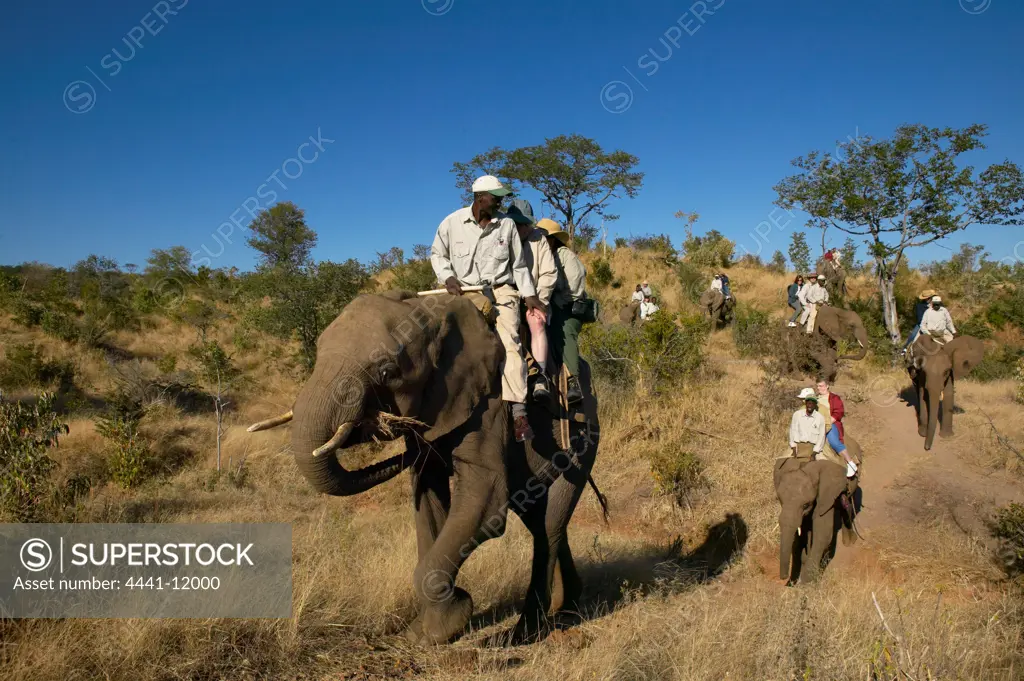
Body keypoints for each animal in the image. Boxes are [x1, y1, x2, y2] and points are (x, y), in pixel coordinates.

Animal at [246, 290, 598, 643]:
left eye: (387, 371)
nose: (376, 423)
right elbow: (427, 497)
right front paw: (420, 633)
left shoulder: (490, 402)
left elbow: (485, 502)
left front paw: (451, 619)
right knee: (539, 520)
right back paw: (567, 609)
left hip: (583, 434)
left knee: (549, 524)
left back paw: (524, 633)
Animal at [770, 436, 860, 585]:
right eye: (780, 500)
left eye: (806, 505)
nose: (784, 578)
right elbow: (802, 532)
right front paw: (804, 562)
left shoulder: (826, 493)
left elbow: (823, 532)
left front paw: (807, 581)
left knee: (845, 505)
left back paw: (849, 542)